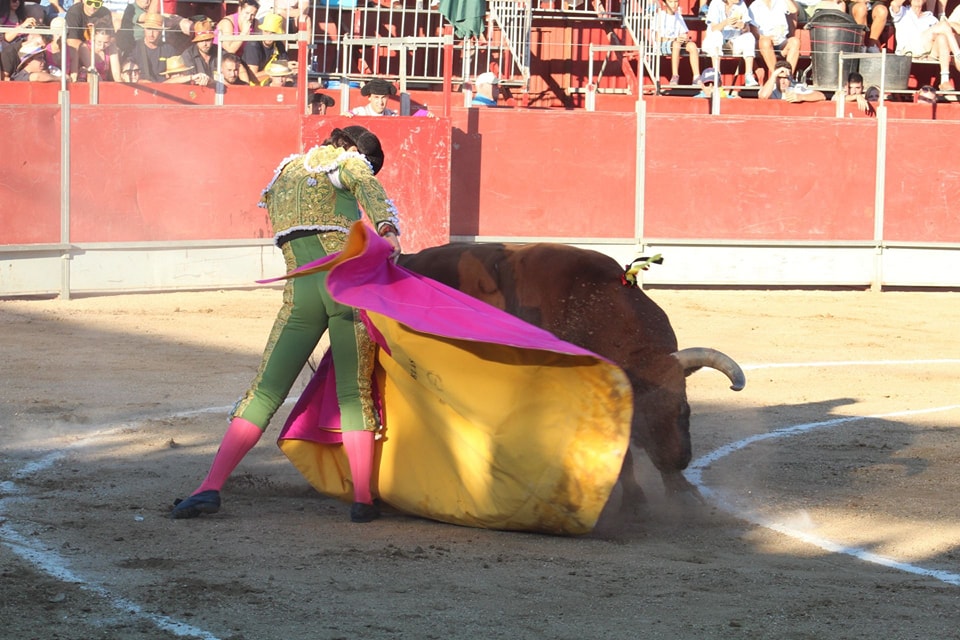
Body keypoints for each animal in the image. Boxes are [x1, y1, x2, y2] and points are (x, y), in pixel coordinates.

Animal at [398, 242, 744, 508]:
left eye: (684, 409)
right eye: (640, 418)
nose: (678, 460)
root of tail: (409, 259)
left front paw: (683, 493)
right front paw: (635, 501)